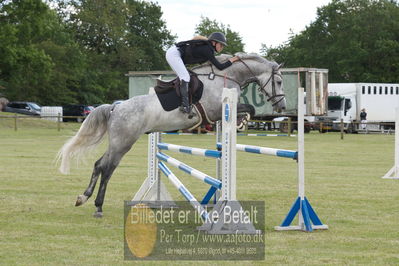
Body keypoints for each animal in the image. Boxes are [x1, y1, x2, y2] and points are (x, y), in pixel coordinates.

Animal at [57, 52, 288, 218]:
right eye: (278, 82)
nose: (282, 106)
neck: (226, 76)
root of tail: (116, 107)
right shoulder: (215, 111)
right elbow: (250, 108)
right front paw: (242, 120)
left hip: (117, 143)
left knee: (98, 165)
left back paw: (83, 197)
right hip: (123, 143)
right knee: (107, 169)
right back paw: (98, 206)